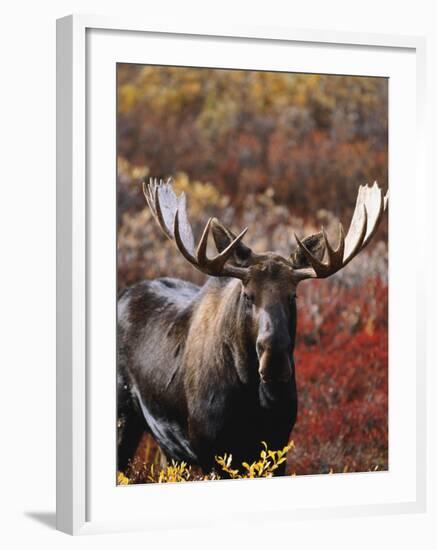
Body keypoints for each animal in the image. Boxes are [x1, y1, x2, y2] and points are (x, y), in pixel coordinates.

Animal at [116, 179, 388, 476]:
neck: (252, 398)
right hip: (124, 419)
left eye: (293, 295)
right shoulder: (210, 450)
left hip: (169, 448)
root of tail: (124, 293)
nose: (275, 360)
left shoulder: (278, 445)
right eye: (248, 295)